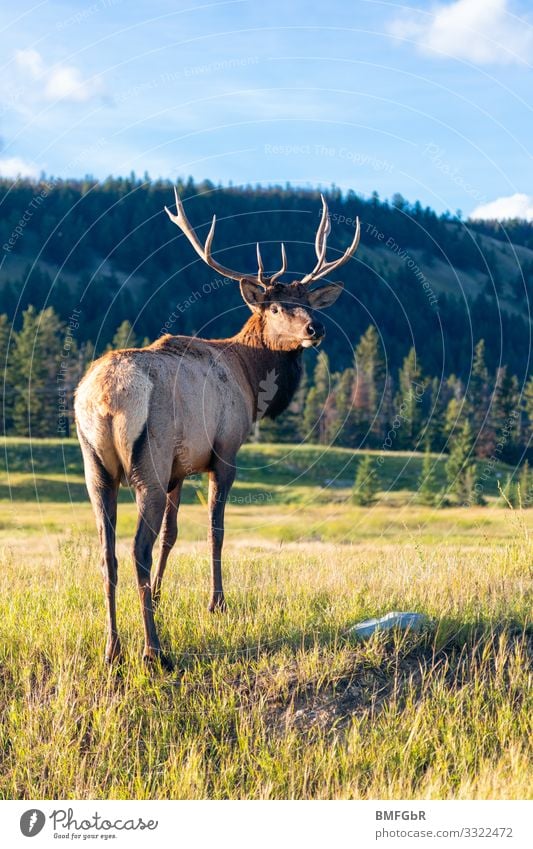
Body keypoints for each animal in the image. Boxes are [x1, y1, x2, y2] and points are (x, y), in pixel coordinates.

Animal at [74, 192, 358, 668]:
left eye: (310, 302)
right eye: (276, 306)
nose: (315, 328)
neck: (248, 373)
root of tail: (106, 398)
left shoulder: (178, 468)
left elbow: (172, 536)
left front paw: (163, 596)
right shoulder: (223, 451)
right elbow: (215, 530)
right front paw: (216, 603)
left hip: (96, 466)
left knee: (107, 551)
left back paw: (112, 648)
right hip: (147, 464)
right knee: (136, 550)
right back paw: (153, 651)